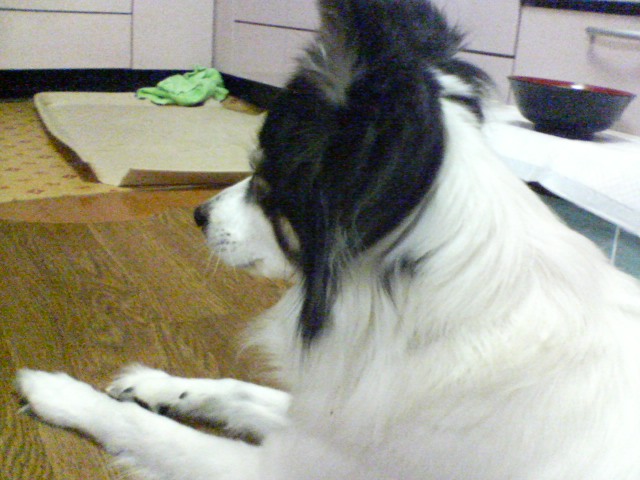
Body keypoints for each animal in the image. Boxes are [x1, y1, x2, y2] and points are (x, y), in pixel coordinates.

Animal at [17, 0, 640, 479]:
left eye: (263, 175)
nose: (198, 213)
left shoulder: (296, 464)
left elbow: (146, 430)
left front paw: (61, 392)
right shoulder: (327, 419)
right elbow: (236, 389)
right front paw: (159, 383)